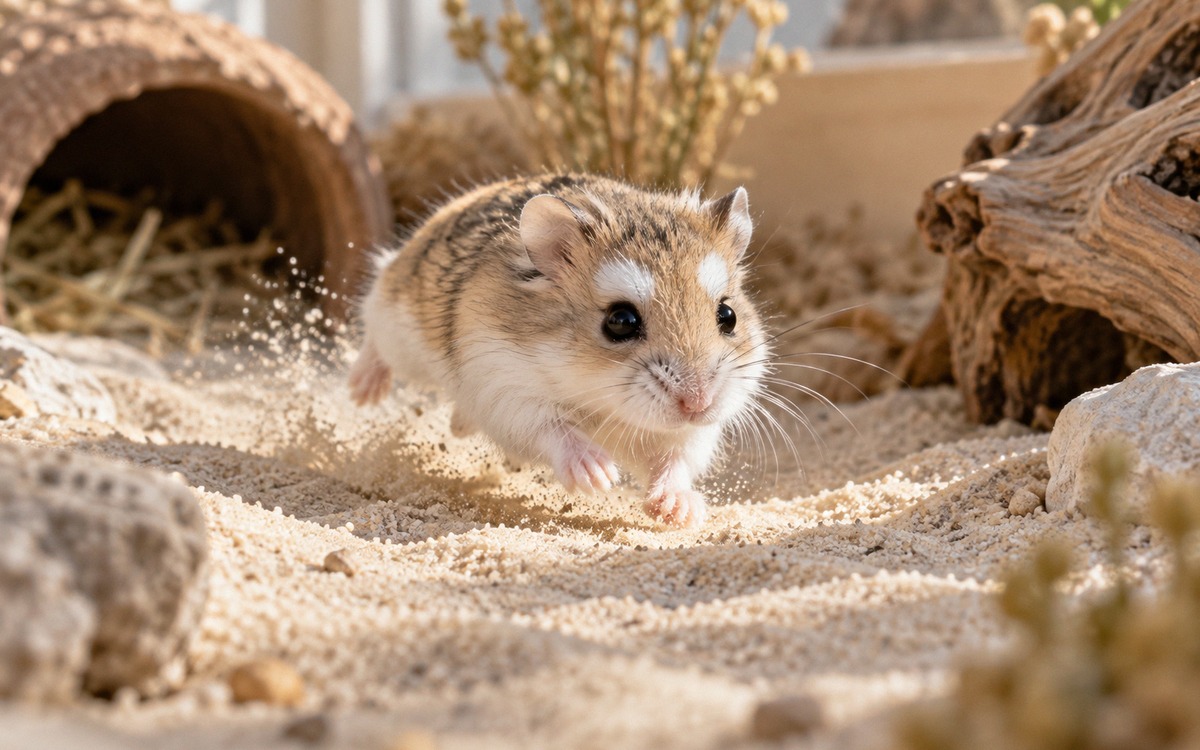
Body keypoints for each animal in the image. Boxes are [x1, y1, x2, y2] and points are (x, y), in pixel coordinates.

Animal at [348, 173, 768, 529]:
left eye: (728, 315)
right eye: (620, 321)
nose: (698, 403)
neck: (601, 400)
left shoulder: (694, 435)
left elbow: (676, 460)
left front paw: (679, 512)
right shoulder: (506, 390)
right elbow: (555, 427)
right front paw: (598, 476)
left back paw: (456, 424)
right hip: (398, 327)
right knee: (375, 325)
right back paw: (363, 392)